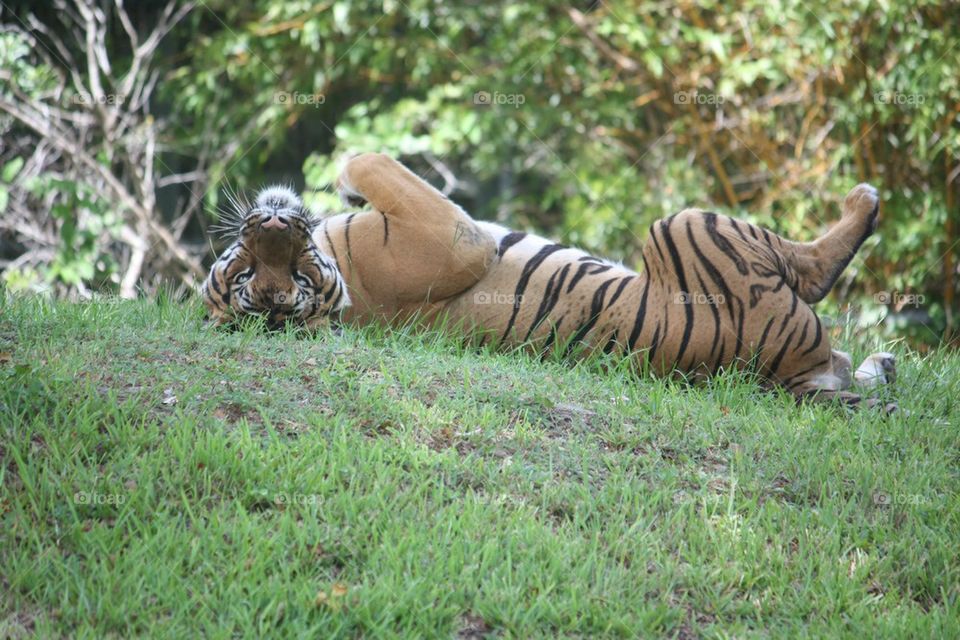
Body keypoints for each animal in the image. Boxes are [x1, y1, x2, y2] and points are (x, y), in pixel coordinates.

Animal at [204, 152, 900, 408]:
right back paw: (865, 201)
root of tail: (782, 377)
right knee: (816, 271)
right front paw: (347, 175)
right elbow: (365, 157)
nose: (274, 221)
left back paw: (883, 365)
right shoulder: (452, 233)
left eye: (263, 270)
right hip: (686, 225)